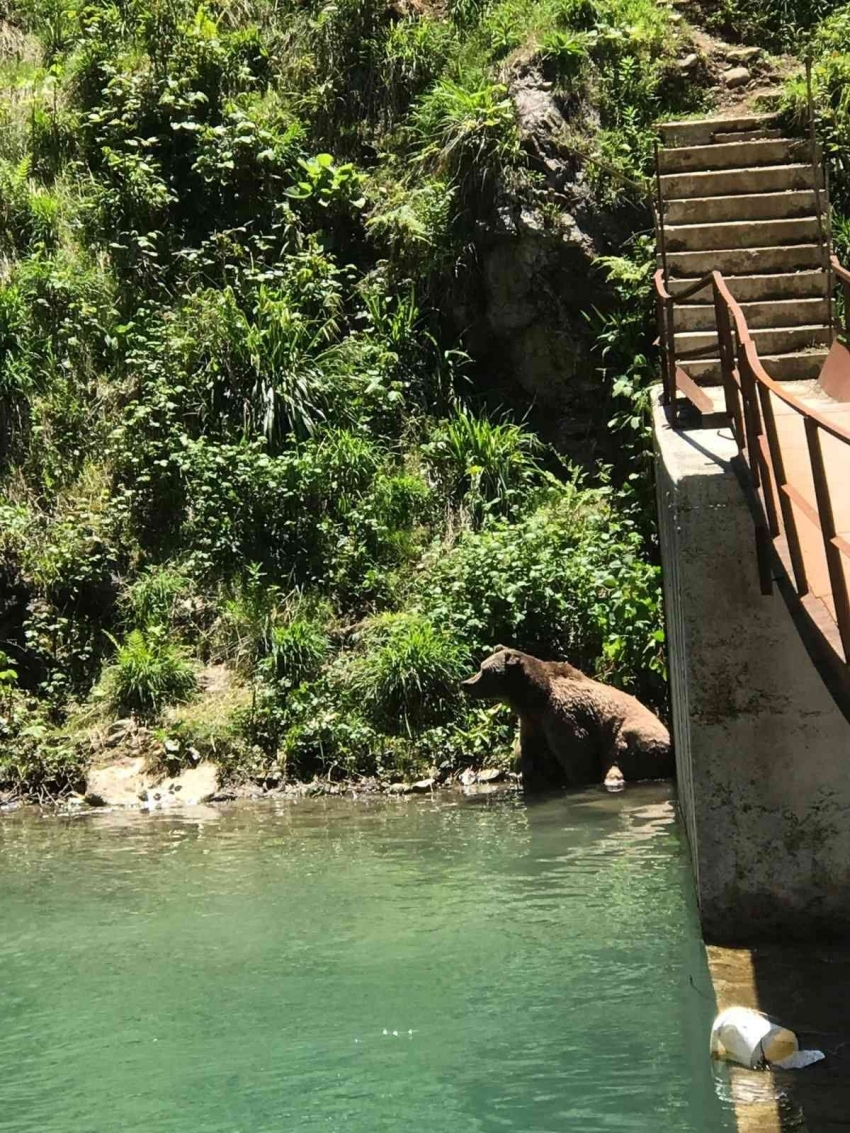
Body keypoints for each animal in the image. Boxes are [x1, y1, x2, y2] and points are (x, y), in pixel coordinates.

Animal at [462, 648, 675, 788]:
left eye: (484, 670)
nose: (465, 683)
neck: (534, 698)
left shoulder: (563, 715)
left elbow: (577, 755)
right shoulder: (533, 723)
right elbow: (531, 755)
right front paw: (529, 777)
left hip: (637, 736)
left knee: (619, 756)